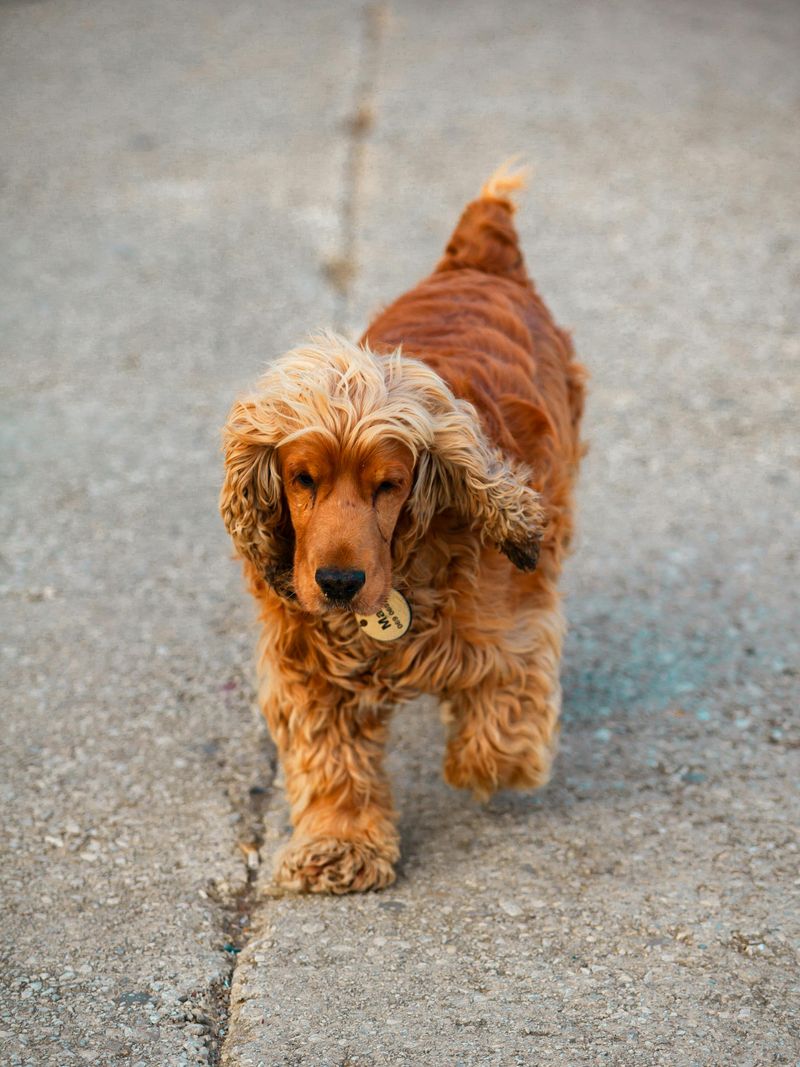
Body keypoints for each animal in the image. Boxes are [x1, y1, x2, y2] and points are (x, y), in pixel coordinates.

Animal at [222, 164, 584, 892]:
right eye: (302, 479)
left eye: (387, 484)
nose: (338, 582)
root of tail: (478, 261)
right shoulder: (304, 660)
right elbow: (328, 758)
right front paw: (340, 845)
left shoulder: (515, 631)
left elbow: (504, 722)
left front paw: (486, 765)